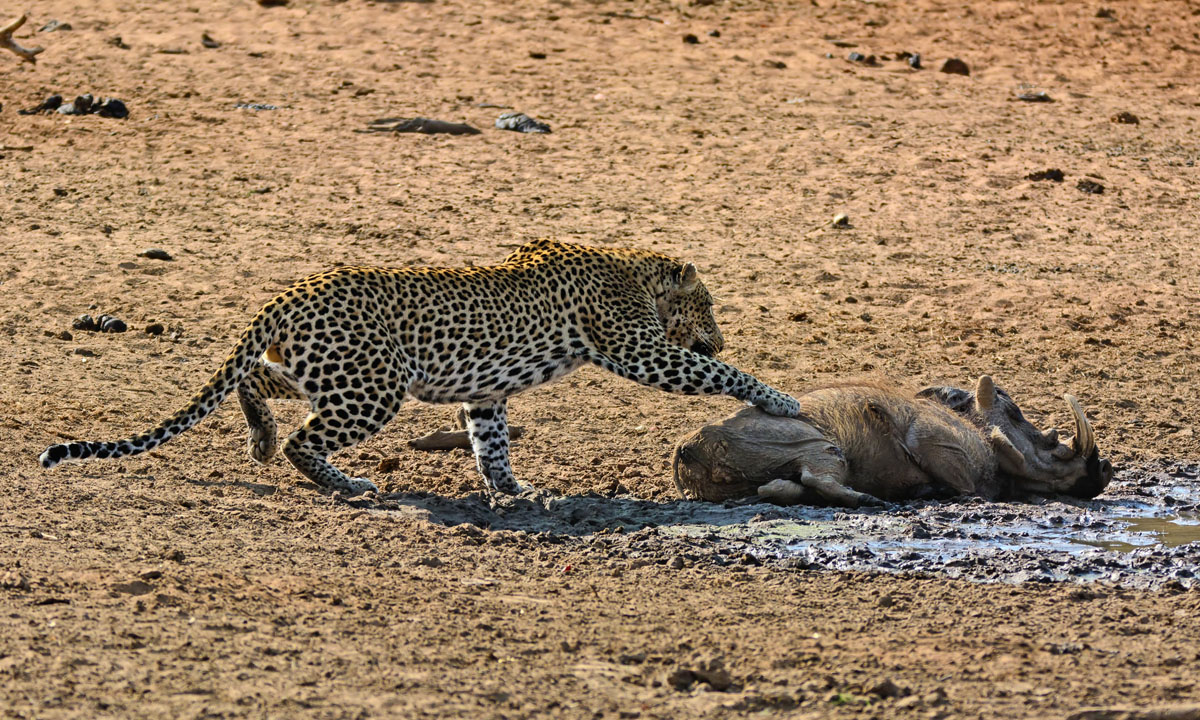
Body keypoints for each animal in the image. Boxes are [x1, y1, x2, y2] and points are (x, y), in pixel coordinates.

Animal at [40, 239, 801, 495]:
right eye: (708, 305)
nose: (720, 336)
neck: (634, 272)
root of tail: (287, 293)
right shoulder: (640, 351)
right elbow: (719, 377)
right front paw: (780, 399)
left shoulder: (486, 393)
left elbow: (490, 443)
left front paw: (514, 489)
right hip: (371, 388)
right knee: (305, 438)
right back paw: (346, 483)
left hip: (337, 371)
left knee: (255, 381)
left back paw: (258, 438)